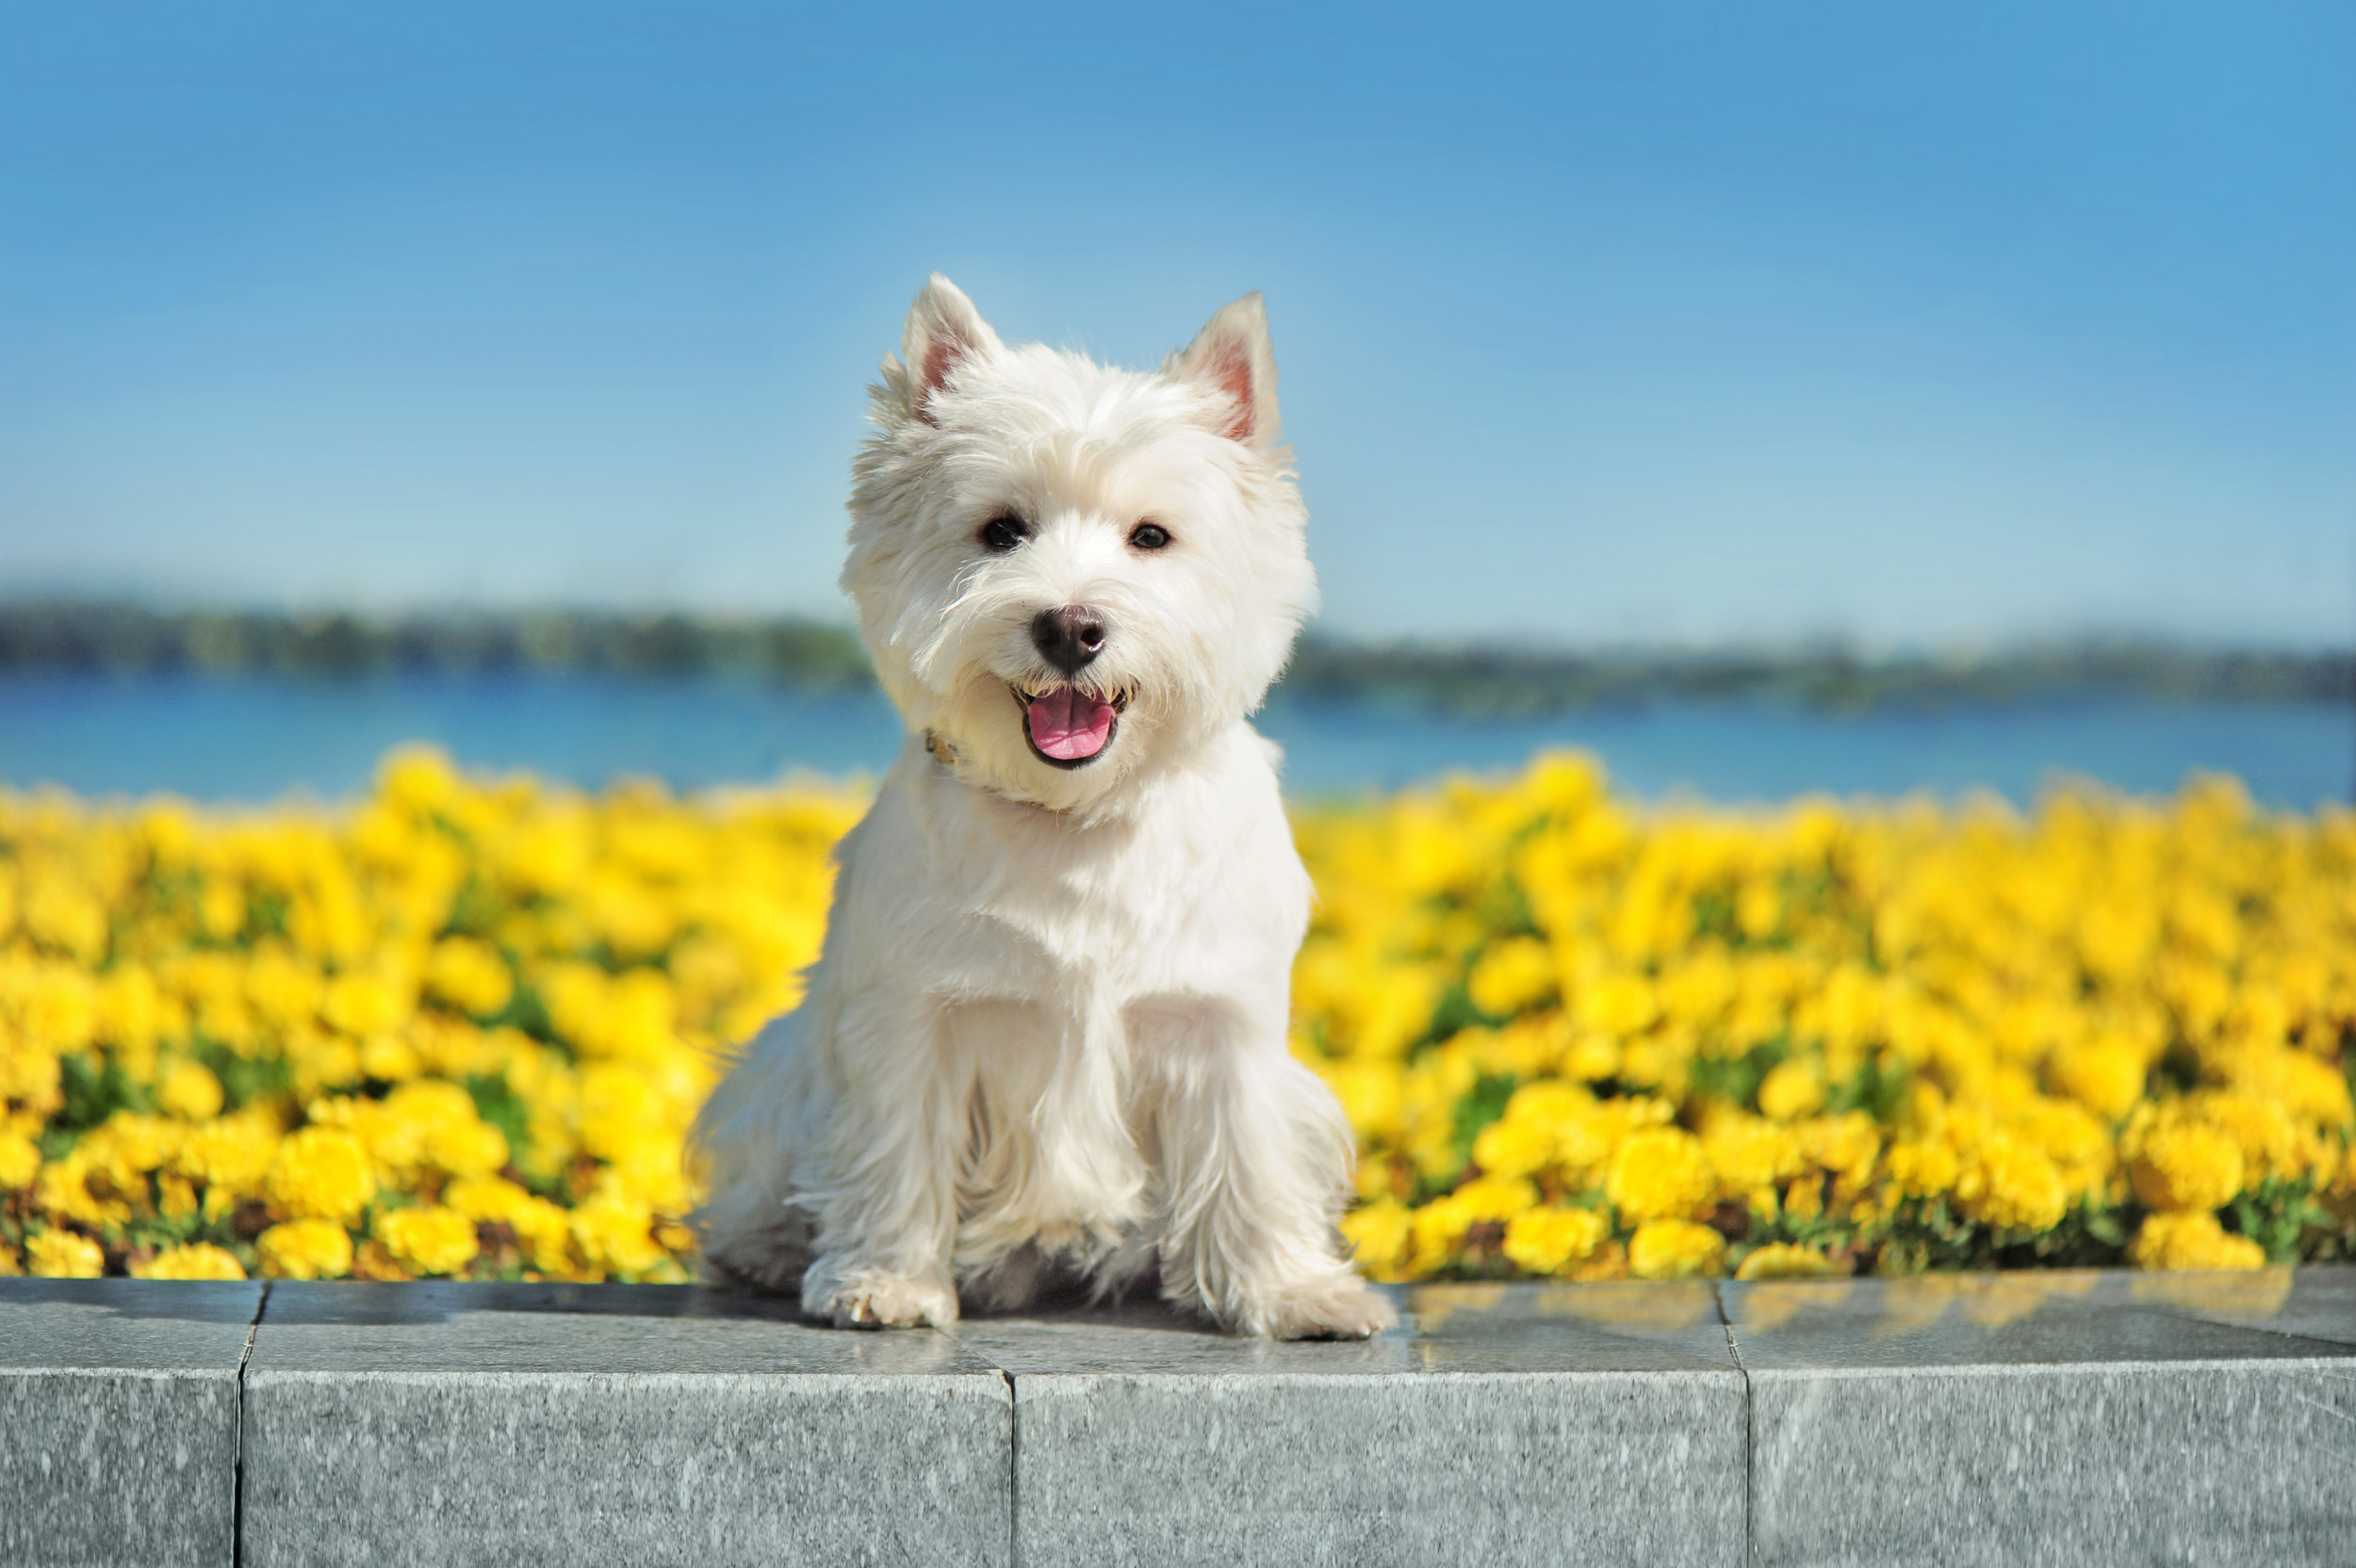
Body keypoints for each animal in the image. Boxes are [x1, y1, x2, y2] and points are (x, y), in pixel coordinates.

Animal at [688, 271, 1385, 1328]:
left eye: (1151, 537)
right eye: (1001, 530)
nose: (1069, 626)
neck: (1078, 821)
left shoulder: (1221, 1019)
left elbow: (1250, 1157)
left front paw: (1294, 1290)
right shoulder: (913, 1017)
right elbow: (897, 1148)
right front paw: (887, 1281)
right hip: (778, 1072)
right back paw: (768, 1251)